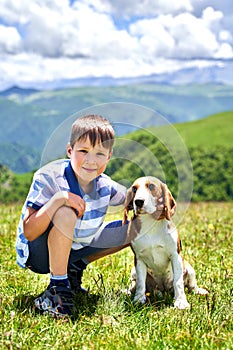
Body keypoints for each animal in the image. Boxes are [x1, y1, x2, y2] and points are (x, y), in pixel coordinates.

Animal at [123, 178, 208, 308]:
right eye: (134, 189)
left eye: (151, 186)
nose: (138, 202)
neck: (150, 224)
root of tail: (163, 290)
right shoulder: (139, 258)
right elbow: (140, 283)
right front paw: (138, 300)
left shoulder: (175, 256)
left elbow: (178, 282)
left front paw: (181, 302)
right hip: (134, 272)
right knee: (135, 285)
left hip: (189, 269)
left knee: (191, 286)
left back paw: (199, 291)